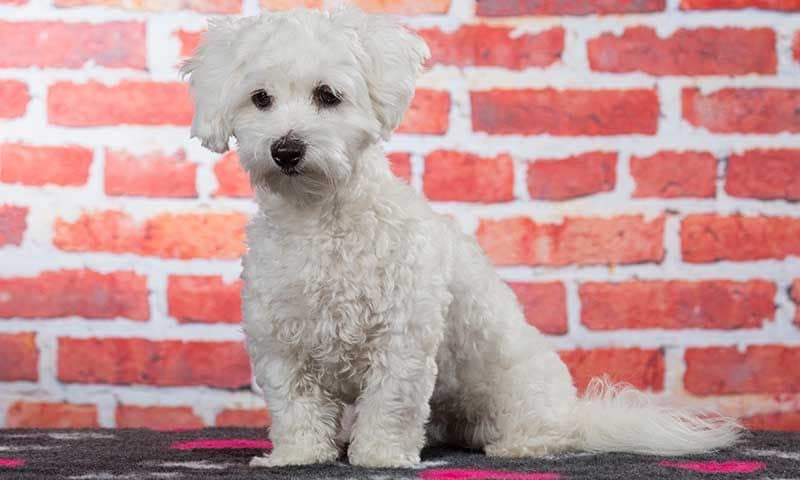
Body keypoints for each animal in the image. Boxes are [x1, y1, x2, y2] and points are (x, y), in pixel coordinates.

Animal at [183, 5, 744, 466]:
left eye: (328, 95)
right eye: (260, 99)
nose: (286, 149)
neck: (319, 220)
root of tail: (578, 411)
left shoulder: (403, 339)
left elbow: (390, 404)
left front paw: (381, 457)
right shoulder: (279, 340)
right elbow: (294, 406)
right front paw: (298, 456)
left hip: (520, 389)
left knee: (548, 432)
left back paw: (520, 445)